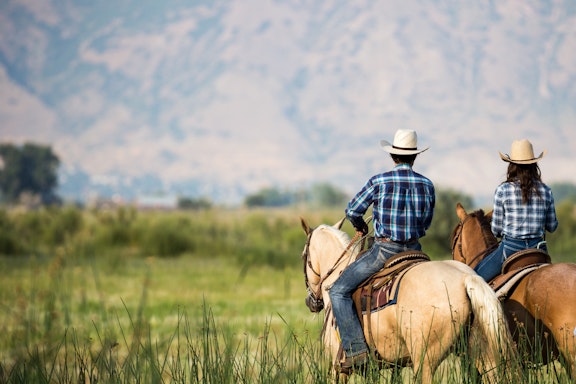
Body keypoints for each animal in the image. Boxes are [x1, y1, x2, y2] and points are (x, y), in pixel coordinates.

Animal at [300, 218, 516, 382]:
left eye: (303, 256)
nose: (311, 301)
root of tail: (465, 278)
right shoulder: (393, 364)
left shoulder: (337, 368)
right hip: (484, 354)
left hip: (425, 362)